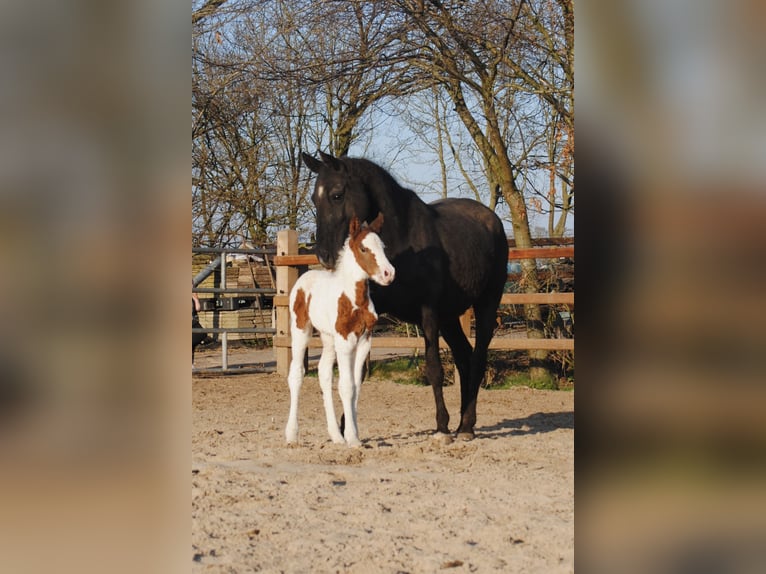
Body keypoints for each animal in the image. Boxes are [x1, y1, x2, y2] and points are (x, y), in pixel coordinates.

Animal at [285, 213, 395, 447]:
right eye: (363, 248)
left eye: (382, 246)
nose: (388, 274)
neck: (354, 300)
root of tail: (303, 279)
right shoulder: (345, 341)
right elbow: (346, 386)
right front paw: (352, 438)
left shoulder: (364, 341)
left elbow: (356, 386)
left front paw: (353, 435)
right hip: (301, 331)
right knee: (296, 374)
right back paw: (291, 434)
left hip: (328, 338)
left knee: (324, 373)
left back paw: (335, 435)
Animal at [302, 151, 509, 439]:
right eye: (314, 198)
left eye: (337, 194)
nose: (324, 255)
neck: (402, 239)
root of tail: (493, 221)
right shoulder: (373, 313)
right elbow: (356, 372)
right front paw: (346, 427)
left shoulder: (428, 312)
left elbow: (434, 368)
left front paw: (441, 426)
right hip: (450, 317)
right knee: (464, 357)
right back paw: (463, 423)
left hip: (486, 304)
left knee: (477, 359)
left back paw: (465, 426)